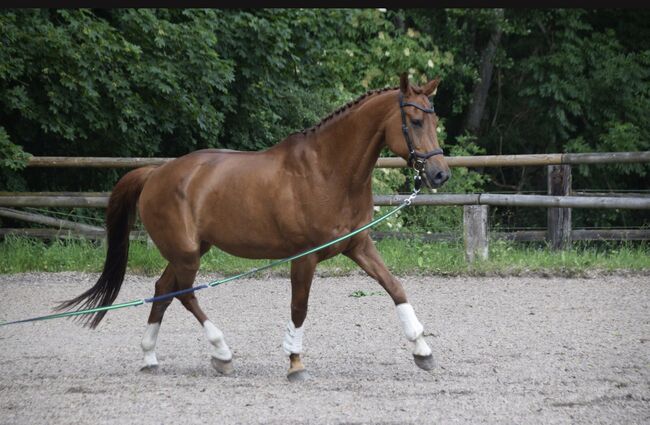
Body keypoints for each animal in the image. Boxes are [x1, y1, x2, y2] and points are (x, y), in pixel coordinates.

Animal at [59, 73, 446, 380]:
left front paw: (422, 351)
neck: (326, 171)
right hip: (186, 254)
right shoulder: (304, 257)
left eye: (434, 119)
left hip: (189, 250)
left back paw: (150, 357)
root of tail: (155, 173)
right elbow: (299, 308)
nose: (440, 174)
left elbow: (395, 288)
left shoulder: (358, 246)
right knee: (183, 293)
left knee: (163, 290)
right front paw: (295, 363)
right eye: (414, 121)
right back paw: (222, 353)